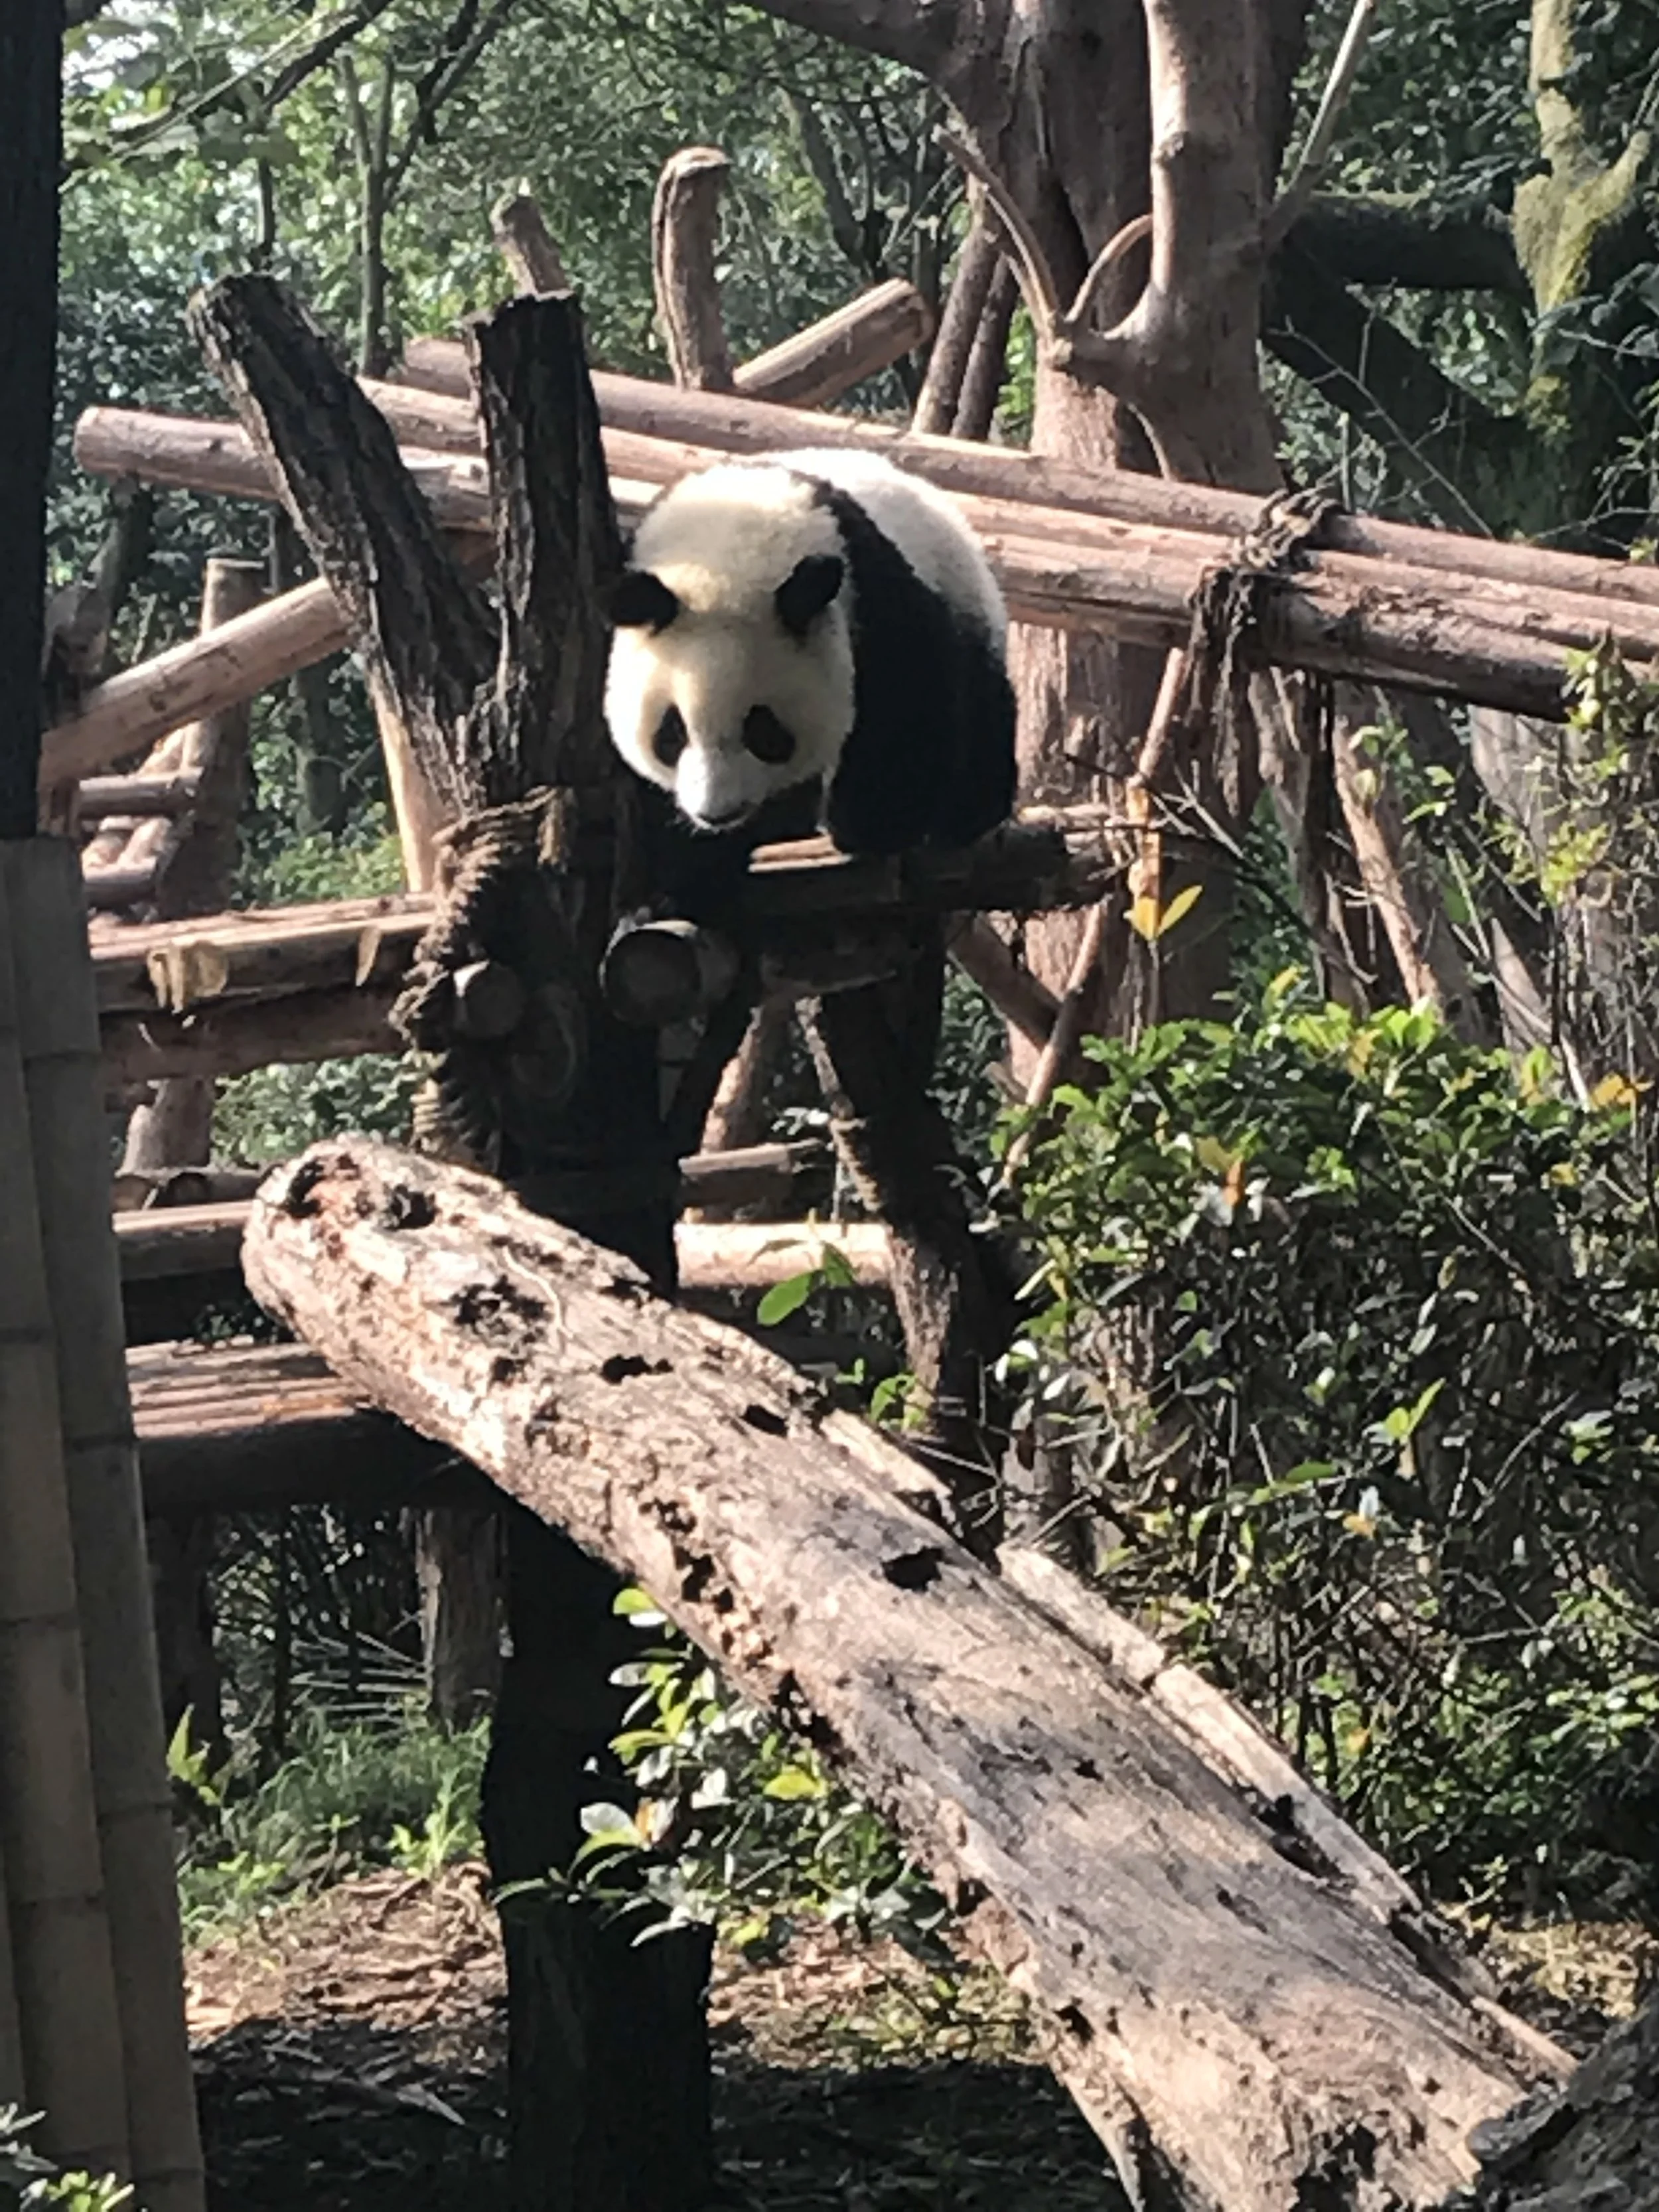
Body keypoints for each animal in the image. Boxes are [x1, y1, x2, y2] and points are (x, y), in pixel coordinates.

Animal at [604, 447, 1017, 869]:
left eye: (763, 728)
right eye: (672, 732)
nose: (718, 813)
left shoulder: (869, 594)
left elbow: (904, 704)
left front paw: (870, 829)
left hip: (963, 595)